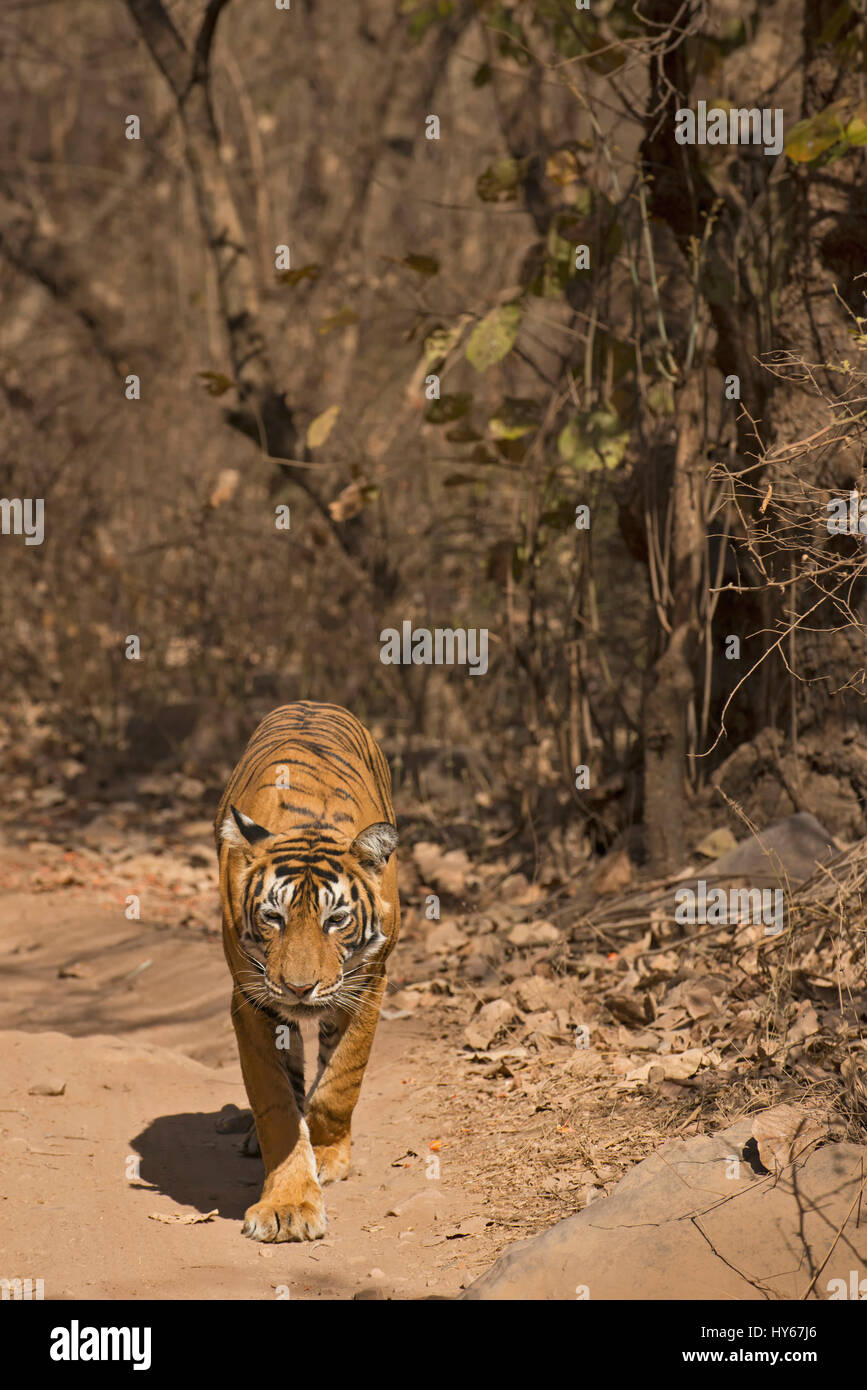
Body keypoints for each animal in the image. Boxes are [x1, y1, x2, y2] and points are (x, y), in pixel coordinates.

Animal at [214, 701, 399, 1242]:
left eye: (335, 919)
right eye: (273, 917)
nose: (299, 988)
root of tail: (312, 703)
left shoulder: (368, 985)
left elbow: (340, 1083)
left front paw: (327, 1155)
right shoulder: (252, 1000)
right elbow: (278, 1102)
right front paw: (290, 1205)